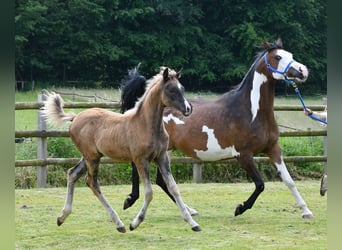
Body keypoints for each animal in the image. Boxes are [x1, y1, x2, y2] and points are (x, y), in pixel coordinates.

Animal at [42, 67, 203, 232]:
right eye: (171, 90)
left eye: (182, 88)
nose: (188, 109)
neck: (145, 125)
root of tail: (75, 118)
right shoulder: (140, 160)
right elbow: (149, 192)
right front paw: (135, 223)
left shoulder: (161, 157)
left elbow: (173, 187)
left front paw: (193, 223)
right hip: (92, 158)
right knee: (92, 183)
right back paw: (119, 223)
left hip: (88, 157)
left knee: (72, 174)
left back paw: (62, 217)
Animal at [122, 38, 312, 219]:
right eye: (278, 57)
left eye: (290, 54)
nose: (303, 71)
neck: (251, 111)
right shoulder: (243, 155)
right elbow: (260, 184)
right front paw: (240, 208)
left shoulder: (273, 148)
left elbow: (288, 180)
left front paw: (306, 211)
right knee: (139, 167)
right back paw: (130, 199)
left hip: (166, 149)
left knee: (162, 181)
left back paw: (190, 210)